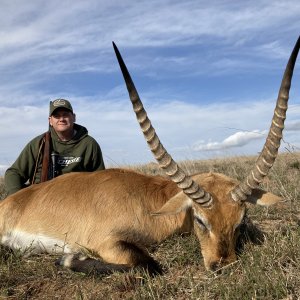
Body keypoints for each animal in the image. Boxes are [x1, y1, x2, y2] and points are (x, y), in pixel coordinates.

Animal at [0, 37, 298, 274]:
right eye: (200, 220)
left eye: (240, 221)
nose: (223, 266)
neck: (149, 200)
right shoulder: (106, 242)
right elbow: (148, 265)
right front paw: (68, 260)